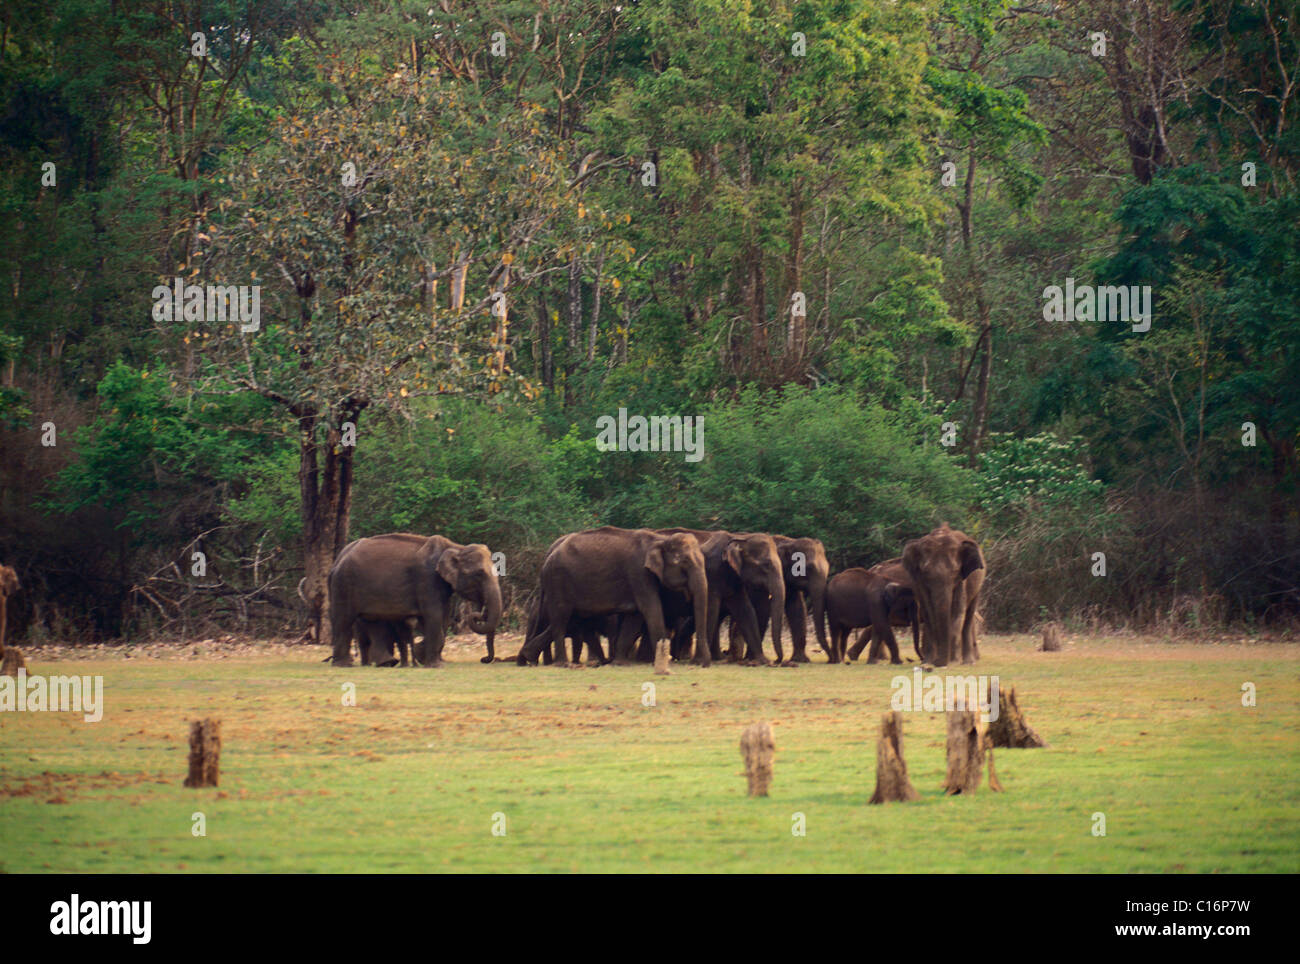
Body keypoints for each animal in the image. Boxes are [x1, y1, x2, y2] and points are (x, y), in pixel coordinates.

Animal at [330, 532, 501, 670]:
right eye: (479, 574)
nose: (484, 659)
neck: (456, 547)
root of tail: (338, 559)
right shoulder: (427, 579)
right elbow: (434, 615)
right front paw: (434, 665)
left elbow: (444, 618)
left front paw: (427, 658)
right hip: (343, 585)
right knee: (344, 621)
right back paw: (343, 665)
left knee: (371, 621)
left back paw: (385, 663)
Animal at [514, 527, 712, 670]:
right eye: (684, 564)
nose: (704, 665)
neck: (659, 540)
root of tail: (546, 560)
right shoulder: (639, 574)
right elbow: (651, 610)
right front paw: (665, 661)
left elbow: (634, 617)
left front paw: (620, 663)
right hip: (559, 581)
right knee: (561, 619)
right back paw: (563, 664)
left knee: (568, 619)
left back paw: (529, 655)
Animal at [904, 524, 982, 670]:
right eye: (926, 572)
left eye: (955, 572)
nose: (936, 664)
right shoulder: (919, 581)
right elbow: (928, 612)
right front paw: (928, 662)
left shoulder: (962, 580)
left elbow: (958, 612)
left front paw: (951, 662)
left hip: (977, 588)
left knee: (968, 617)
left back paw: (968, 662)